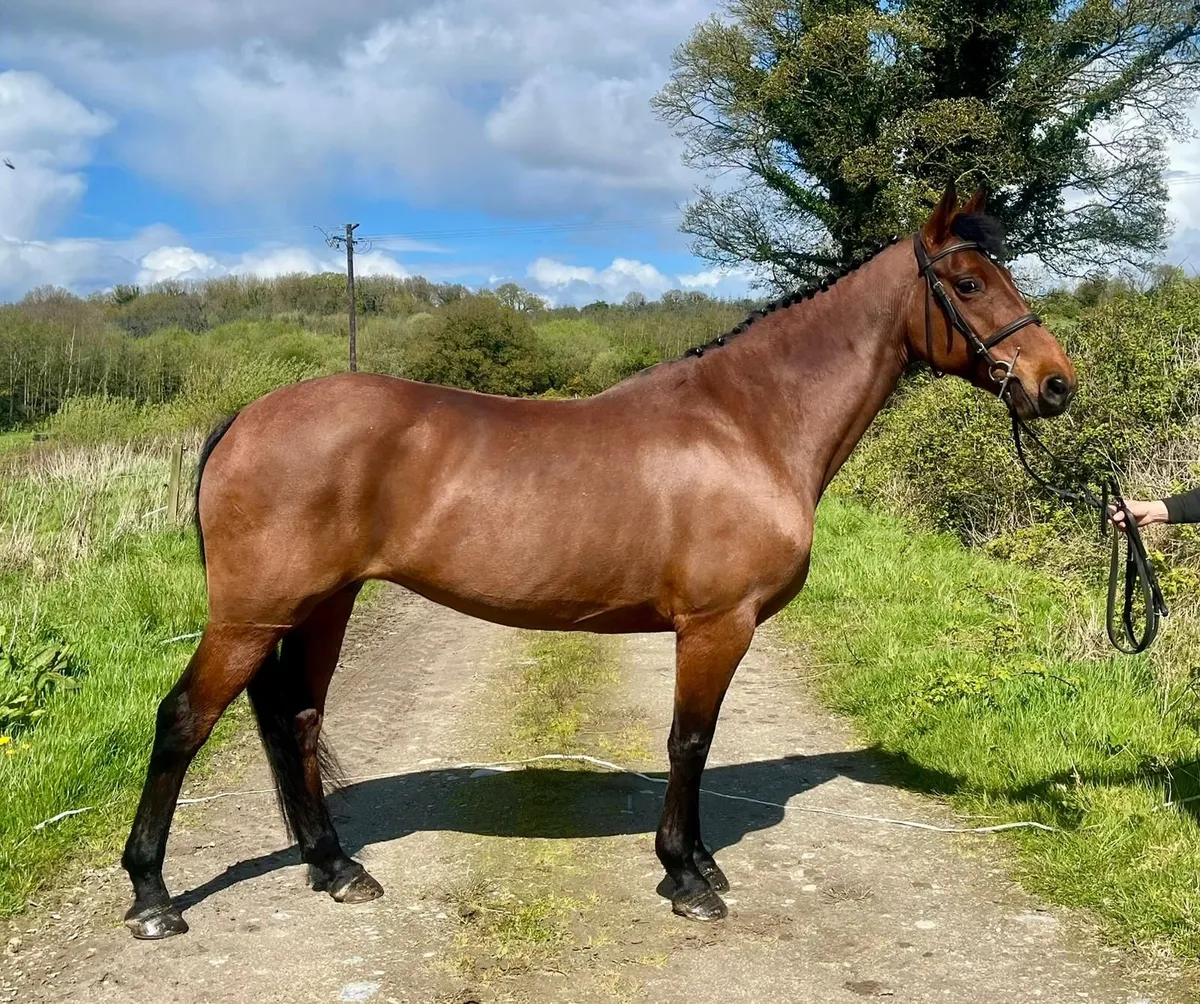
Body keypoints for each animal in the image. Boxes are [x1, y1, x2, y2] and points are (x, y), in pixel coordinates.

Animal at [120, 187, 1076, 939]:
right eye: (968, 282)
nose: (1056, 383)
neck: (749, 423)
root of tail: (246, 417)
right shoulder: (716, 627)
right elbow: (690, 740)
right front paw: (687, 877)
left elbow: (696, 744)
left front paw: (700, 864)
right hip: (252, 615)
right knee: (182, 721)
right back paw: (153, 897)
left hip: (325, 605)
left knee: (298, 721)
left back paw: (336, 868)